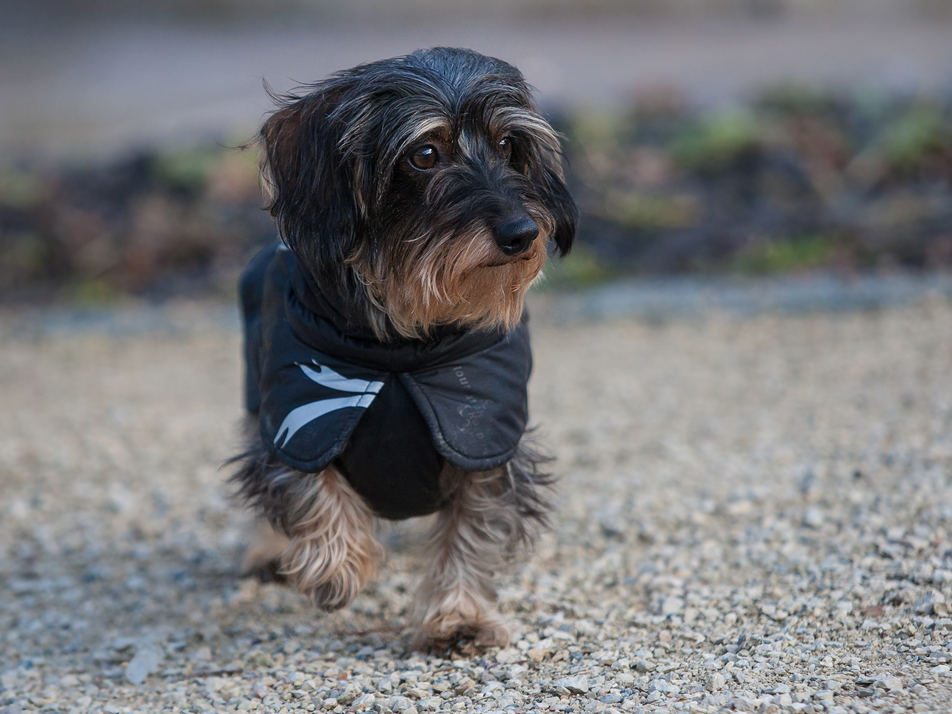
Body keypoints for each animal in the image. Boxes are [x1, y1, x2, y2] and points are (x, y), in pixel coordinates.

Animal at [234, 46, 576, 652]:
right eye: (425, 154)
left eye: (508, 146)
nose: (522, 233)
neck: (403, 347)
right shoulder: (301, 420)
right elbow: (305, 487)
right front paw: (336, 567)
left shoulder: (482, 438)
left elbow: (471, 533)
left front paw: (458, 617)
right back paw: (271, 553)